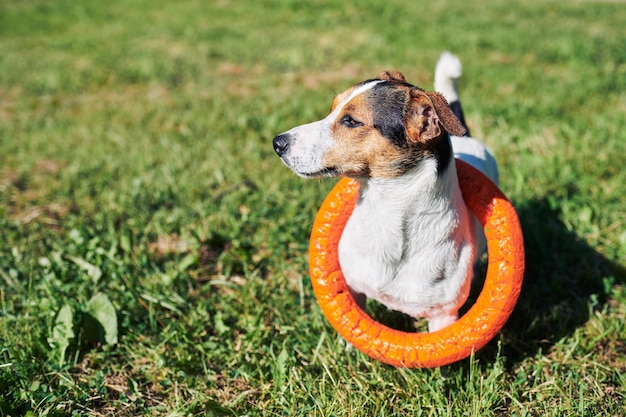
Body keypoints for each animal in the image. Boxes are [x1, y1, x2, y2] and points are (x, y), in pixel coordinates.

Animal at [272, 52, 498, 332]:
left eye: (351, 121)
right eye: (332, 109)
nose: (277, 143)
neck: (387, 211)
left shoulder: (443, 316)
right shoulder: (353, 288)